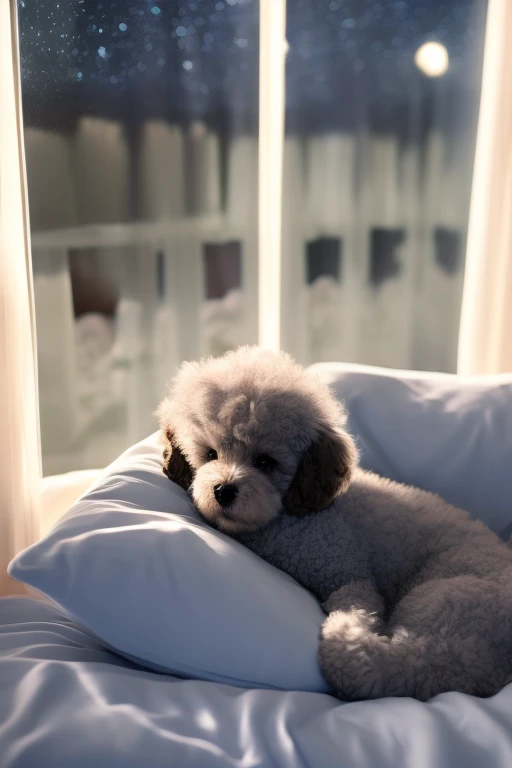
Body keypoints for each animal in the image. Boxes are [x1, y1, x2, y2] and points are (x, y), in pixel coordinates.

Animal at [158, 348, 512, 704]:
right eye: (210, 454)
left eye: (266, 462)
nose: (223, 491)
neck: (288, 517)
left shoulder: (350, 577)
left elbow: (358, 605)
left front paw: (350, 630)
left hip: (443, 605)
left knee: (398, 669)